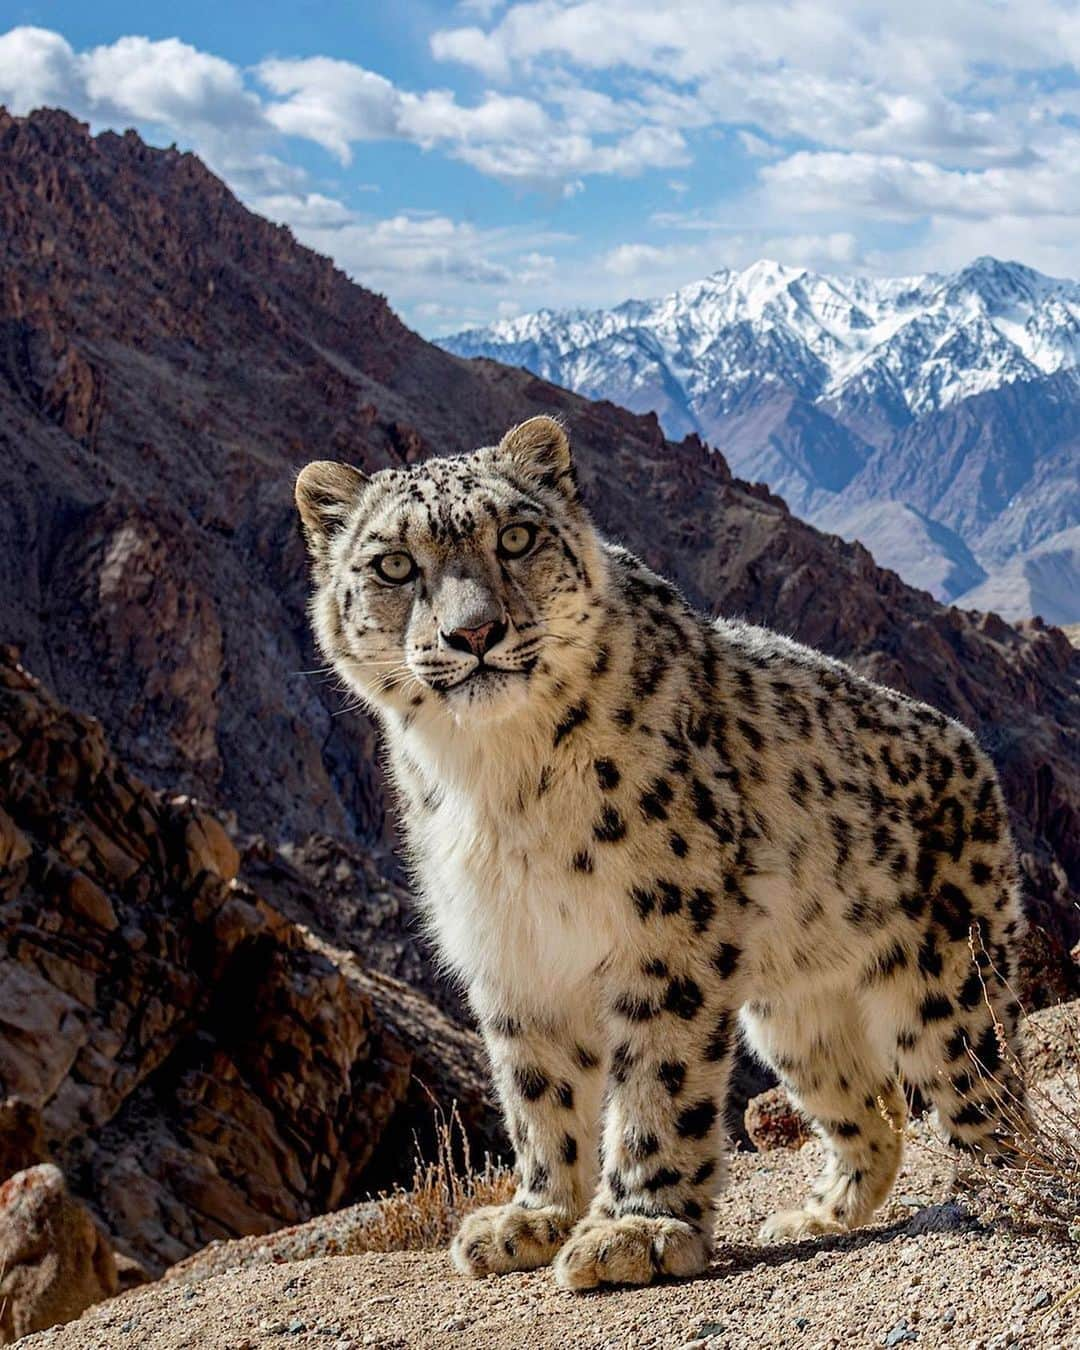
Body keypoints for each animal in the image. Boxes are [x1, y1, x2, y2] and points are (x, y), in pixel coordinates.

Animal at [297, 415, 1031, 1290]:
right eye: (395, 565)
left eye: (515, 537)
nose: (473, 633)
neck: (495, 781)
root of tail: (971, 749)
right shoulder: (509, 948)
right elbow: (536, 1090)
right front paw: (533, 1217)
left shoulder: (666, 929)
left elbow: (657, 1077)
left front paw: (635, 1230)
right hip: (795, 1017)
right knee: (873, 1107)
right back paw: (816, 1216)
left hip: (949, 987)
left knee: (990, 1095)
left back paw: (1002, 1189)